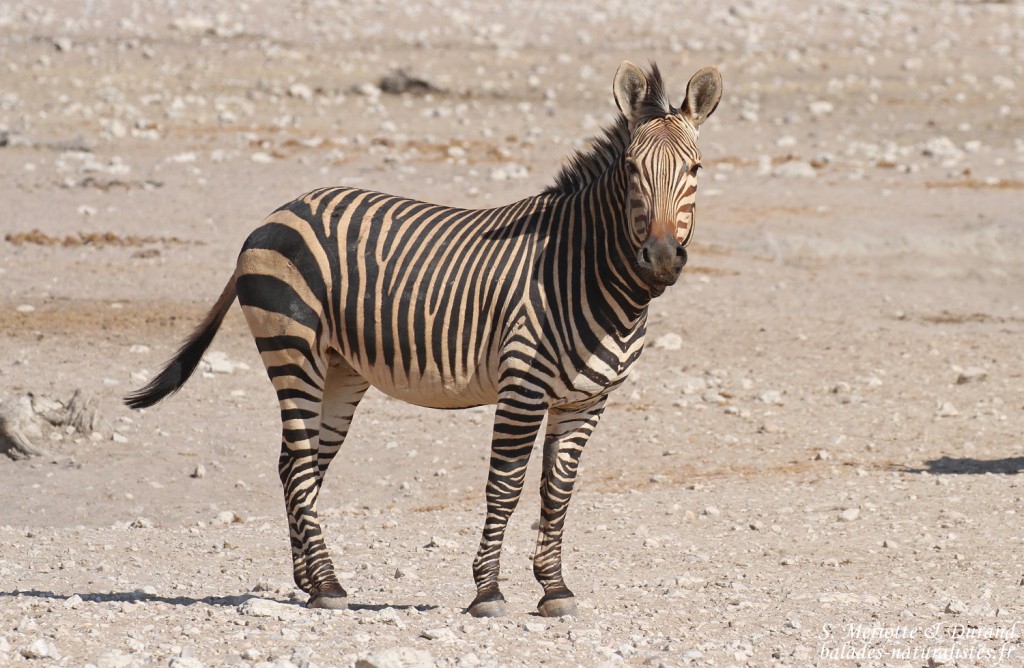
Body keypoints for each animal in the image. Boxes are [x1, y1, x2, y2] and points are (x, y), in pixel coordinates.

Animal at [125, 61, 722, 618]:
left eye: (694, 169)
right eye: (632, 170)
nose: (661, 258)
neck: (583, 270)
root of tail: (277, 213)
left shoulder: (587, 401)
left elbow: (558, 494)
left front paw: (554, 589)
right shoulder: (522, 389)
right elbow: (505, 487)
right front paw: (487, 591)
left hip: (339, 368)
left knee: (298, 464)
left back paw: (311, 581)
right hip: (292, 349)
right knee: (299, 464)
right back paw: (330, 587)